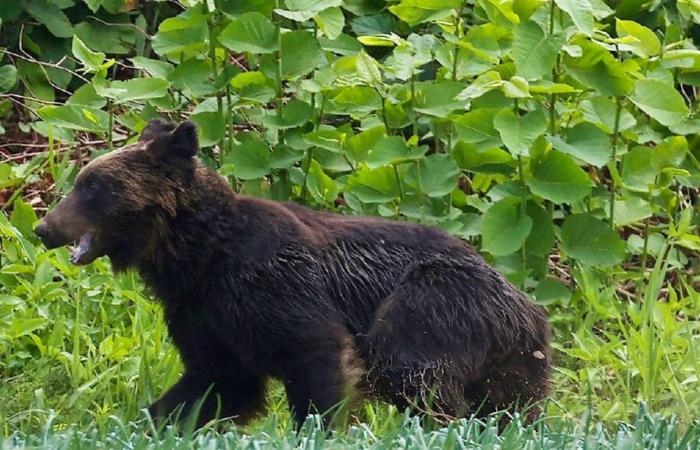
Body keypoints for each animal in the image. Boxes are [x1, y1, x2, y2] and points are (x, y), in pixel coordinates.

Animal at [35, 119, 552, 428]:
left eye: (92, 185)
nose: (43, 227)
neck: (196, 256)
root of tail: (526, 302)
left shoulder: (273, 284)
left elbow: (315, 354)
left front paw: (319, 425)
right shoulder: (202, 314)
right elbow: (216, 382)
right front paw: (153, 419)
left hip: (436, 298)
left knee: (410, 368)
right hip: (514, 358)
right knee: (512, 403)